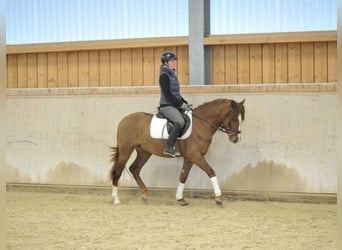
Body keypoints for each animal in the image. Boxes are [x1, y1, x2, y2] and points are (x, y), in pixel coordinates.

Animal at [109, 98, 243, 206]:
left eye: (241, 119)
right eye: (234, 118)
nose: (236, 139)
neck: (201, 125)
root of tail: (123, 120)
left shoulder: (190, 158)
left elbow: (183, 177)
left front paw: (180, 199)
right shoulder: (195, 156)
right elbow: (211, 172)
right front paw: (219, 199)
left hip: (144, 152)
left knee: (135, 169)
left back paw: (145, 195)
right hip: (126, 149)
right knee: (118, 171)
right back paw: (116, 199)